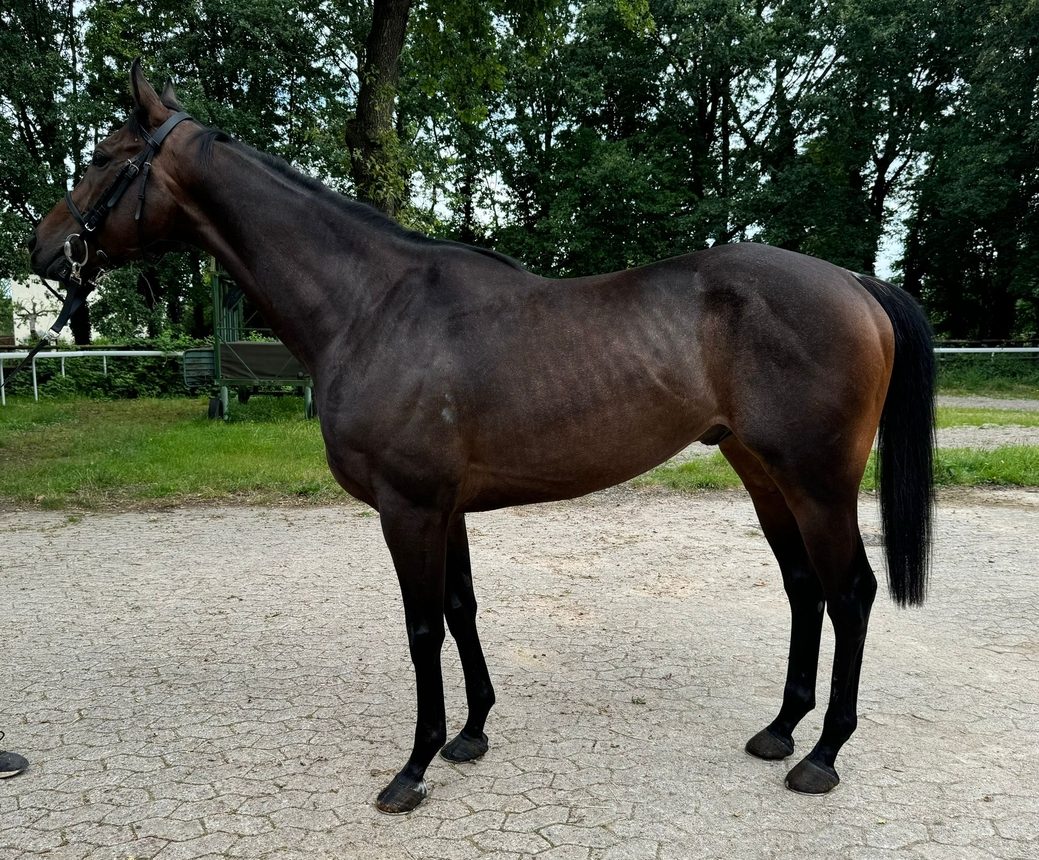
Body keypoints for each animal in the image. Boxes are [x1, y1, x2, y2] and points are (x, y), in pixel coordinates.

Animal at [29, 62, 935, 814]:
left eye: (105, 159)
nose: (41, 249)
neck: (373, 305)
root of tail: (852, 281)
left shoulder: (408, 507)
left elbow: (422, 628)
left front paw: (413, 766)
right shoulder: (447, 506)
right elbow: (462, 609)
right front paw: (470, 736)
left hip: (816, 480)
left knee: (850, 592)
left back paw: (820, 756)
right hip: (761, 472)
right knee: (803, 588)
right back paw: (780, 730)